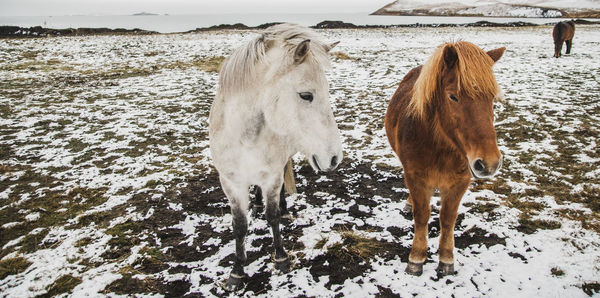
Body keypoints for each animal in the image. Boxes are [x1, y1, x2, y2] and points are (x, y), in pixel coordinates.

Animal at [209, 23, 342, 292]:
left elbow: (273, 216)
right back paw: (257, 203)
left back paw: (283, 207)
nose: (334, 158)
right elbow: (239, 225)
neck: (245, 137)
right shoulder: (230, 182)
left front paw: (280, 258)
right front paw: (237, 272)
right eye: (306, 95)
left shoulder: (271, 176)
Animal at [384, 42, 506, 278]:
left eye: (492, 98)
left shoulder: (460, 183)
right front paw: (416, 258)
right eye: (453, 97)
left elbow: (448, 219)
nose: (489, 163)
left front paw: (446, 259)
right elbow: (422, 215)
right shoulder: (416, 178)